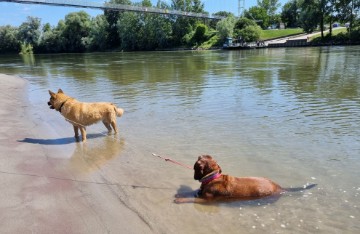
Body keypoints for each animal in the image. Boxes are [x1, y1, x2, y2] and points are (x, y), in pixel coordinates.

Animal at [174, 155, 316, 203]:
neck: (213, 177)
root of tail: (279, 188)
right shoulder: (200, 192)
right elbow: (191, 192)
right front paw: (181, 194)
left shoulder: (206, 199)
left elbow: (191, 199)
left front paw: (180, 199)